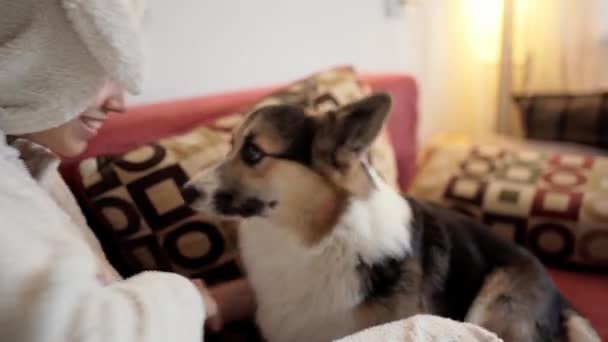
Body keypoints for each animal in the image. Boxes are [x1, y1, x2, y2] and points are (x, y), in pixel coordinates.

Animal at [182, 93, 600, 342]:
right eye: (230, 147)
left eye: (252, 153)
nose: (186, 191)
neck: (316, 239)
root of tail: (561, 300)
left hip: (491, 304)